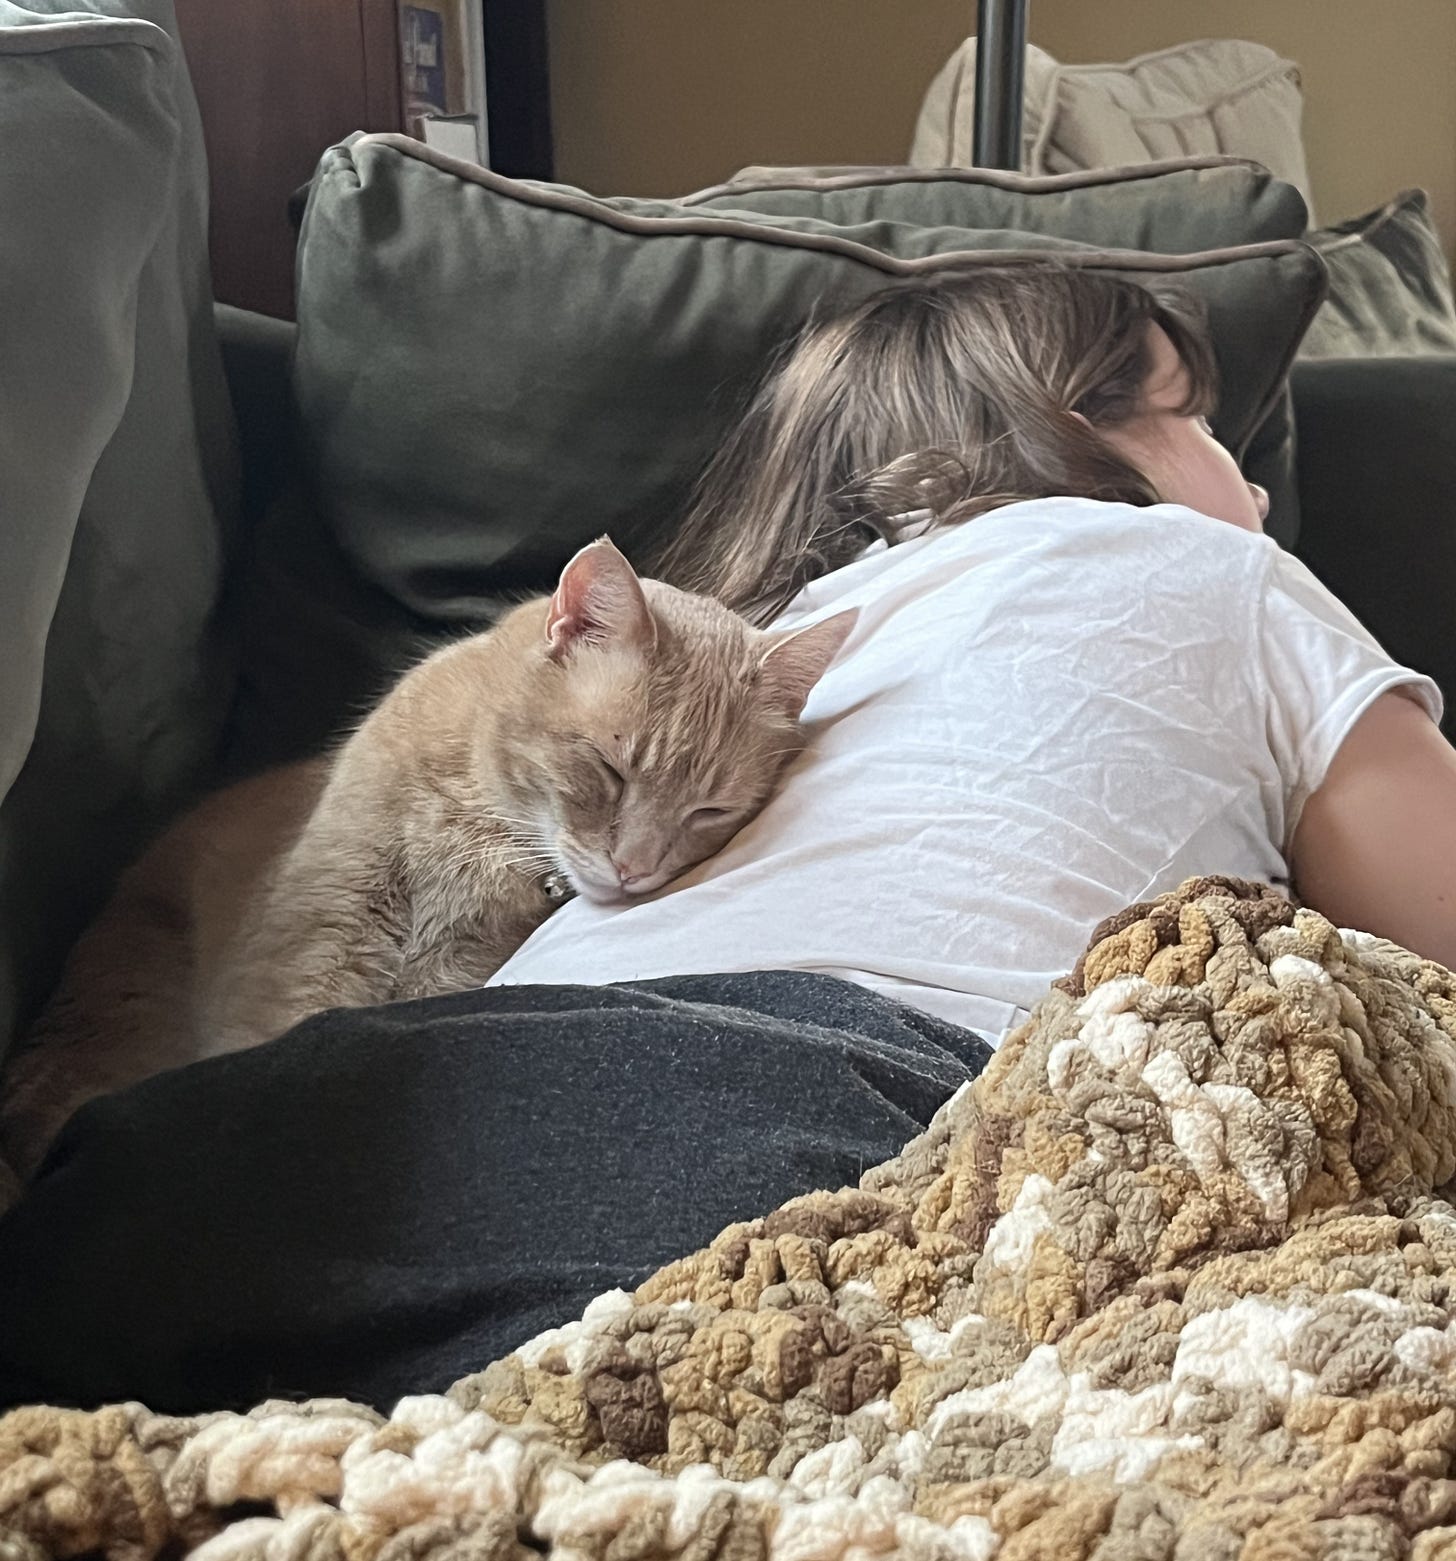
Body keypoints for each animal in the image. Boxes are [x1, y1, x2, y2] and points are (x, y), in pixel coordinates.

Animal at [0, 538, 855, 1179]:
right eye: (610, 769)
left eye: (710, 810)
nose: (634, 868)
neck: (482, 824)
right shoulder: (315, 950)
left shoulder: (448, 972)